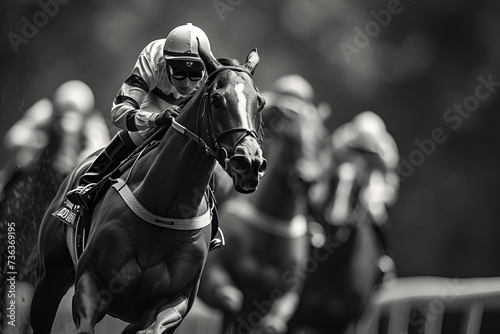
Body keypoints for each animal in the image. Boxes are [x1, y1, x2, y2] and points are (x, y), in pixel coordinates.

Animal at [29, 45, 268, 334]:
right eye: (216, 100)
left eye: (260, 103)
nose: (249, 163)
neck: (165, 207)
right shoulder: (90, 283)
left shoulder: (176, 301)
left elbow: (155, 326)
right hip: (49, 279)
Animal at [288, 111, 400, 332]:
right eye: (333, 180)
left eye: (359, 186)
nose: (336, 217)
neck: (332, 270)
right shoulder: (294, 318)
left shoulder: (343, 323)